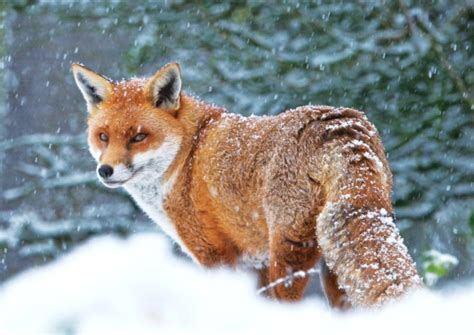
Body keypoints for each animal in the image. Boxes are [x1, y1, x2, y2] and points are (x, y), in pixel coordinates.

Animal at [72, 61, 420, 308]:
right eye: (103, 136)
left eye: (139, 137)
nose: (106, 170)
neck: (187, 157)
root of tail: (342, 127)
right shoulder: (256, 264)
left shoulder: (214, 255)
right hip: (334, 267)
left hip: (289, 256)